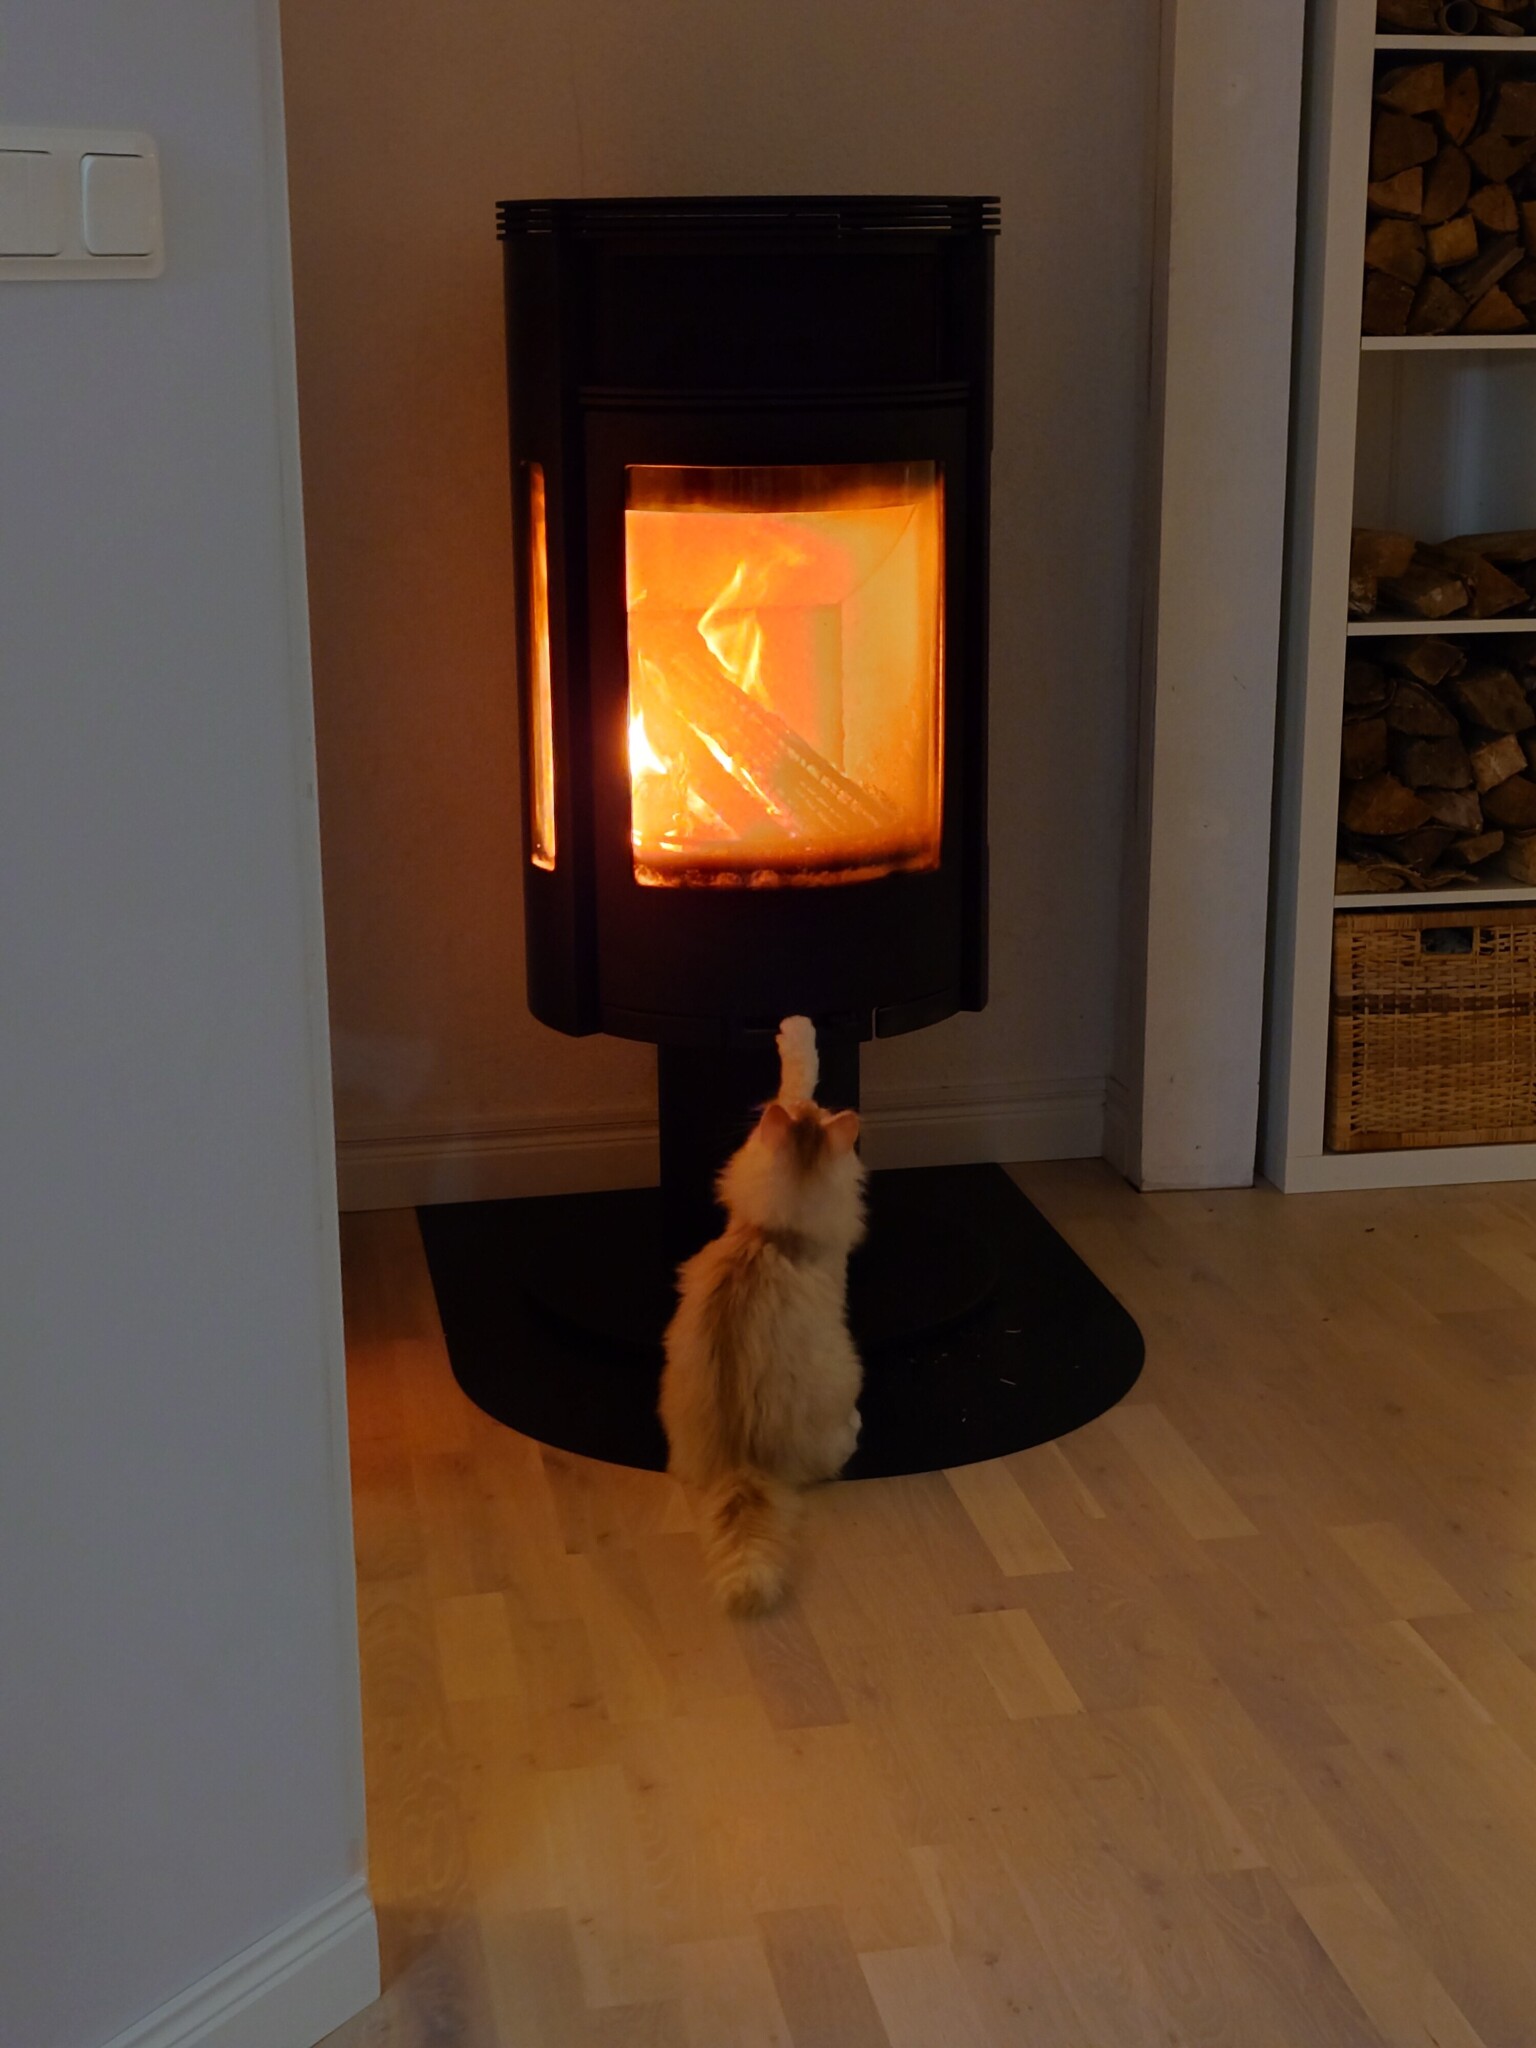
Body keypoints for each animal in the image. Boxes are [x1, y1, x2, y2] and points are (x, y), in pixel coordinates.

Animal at [659, 1018, 866, 1616]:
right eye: (816, 1114)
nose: (816, 1113)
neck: (771, 1237)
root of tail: (742, 1464)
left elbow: (794, 1078)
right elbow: (799, 1074)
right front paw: (799, 1030)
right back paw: (856, 1425)